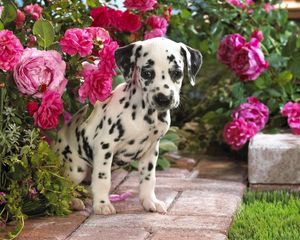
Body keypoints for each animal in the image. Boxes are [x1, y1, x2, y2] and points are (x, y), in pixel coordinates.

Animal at [55, 38, 203, 216]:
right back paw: (73, 201)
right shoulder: (104, 146)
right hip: (76, 168)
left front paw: (150, 201)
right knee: (65, 185)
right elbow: (102, 178)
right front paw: (102, 204)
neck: (144, 114)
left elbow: (148, 178)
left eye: (177, 73)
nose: (163, 99)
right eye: (147, 73)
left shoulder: (151, 150)